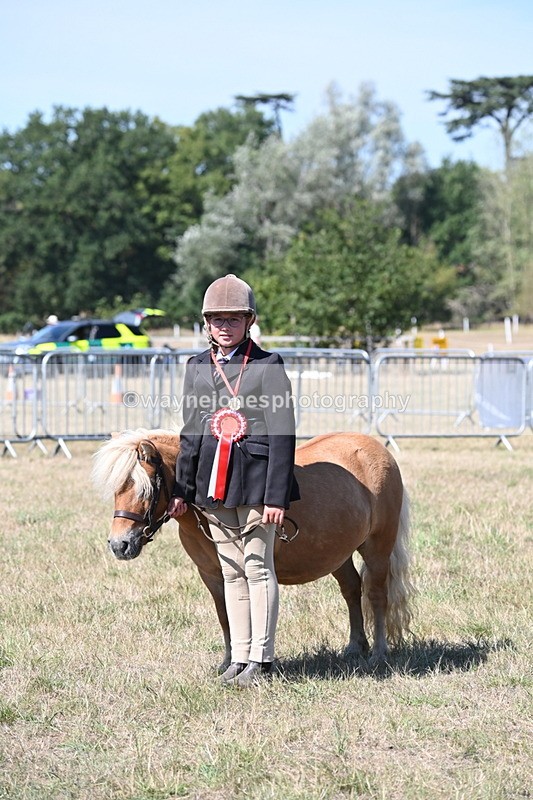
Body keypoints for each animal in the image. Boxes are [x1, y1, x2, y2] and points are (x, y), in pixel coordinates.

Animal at [92, 429, 415, 669]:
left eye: (145, 489)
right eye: (118, 488)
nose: (119, 545)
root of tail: (378, 449)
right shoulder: (212, 574)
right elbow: (226, 615)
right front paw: (228, 662)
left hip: (378, 547)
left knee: (376, 595)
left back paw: (378, 653)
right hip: (338, 553)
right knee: (351, 590)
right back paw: (355, 647)